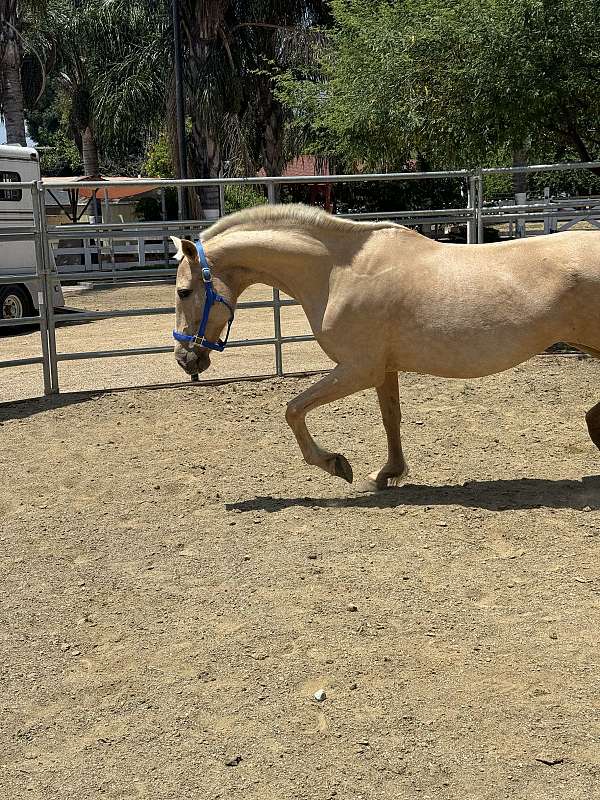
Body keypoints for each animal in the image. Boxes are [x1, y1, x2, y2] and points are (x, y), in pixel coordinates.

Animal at [171, 203, 600, 490]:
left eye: (183, 291)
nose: (184, 357)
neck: (337, 272)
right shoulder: (384, 369)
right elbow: (390, 418)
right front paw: (387, 473)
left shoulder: (358, 368)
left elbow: (293, 410)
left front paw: (337, 464)